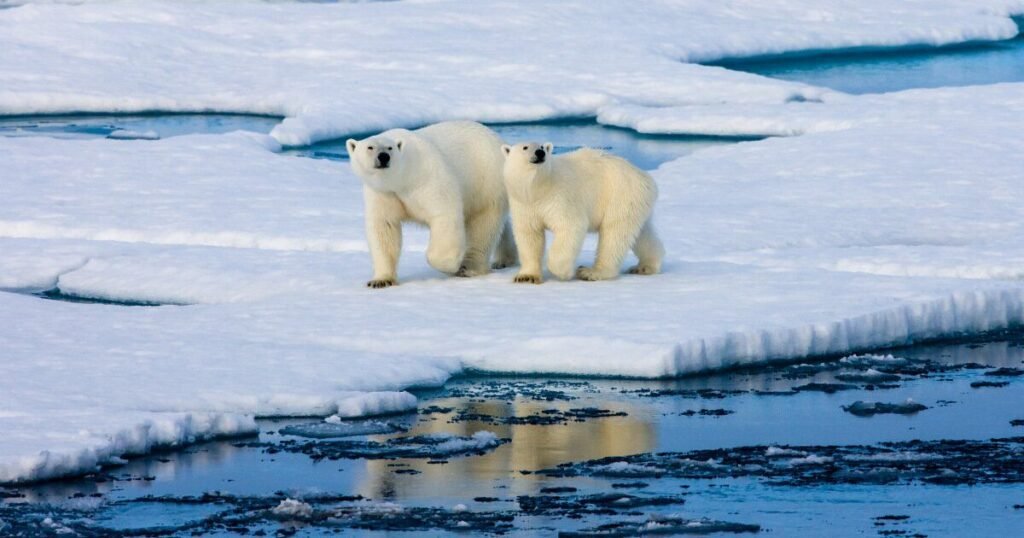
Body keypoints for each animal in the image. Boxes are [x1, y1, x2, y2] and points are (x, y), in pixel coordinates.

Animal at [347, 121, 517, 288]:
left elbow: (444, 214)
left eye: (390, 148)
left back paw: (468, 268)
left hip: (486, 181)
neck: (402, 178)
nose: (383, 157)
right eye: (370, 147)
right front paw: (380, 280)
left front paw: (451, 265)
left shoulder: (426, 177)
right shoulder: (383, 193)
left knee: (482, 225)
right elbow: (384, 227)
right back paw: (504, 259)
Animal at [501, 142, 664, 283]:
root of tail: (646, 178)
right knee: (641, 233)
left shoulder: (559, 197)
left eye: (542, 146)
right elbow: (529, 235)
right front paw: (526, 276)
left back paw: (591, 272)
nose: (540, 153)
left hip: (620, 195)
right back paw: (645, 266)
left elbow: (571, 226)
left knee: (614, 234)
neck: (538, 189)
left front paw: (563, 272)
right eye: (525, 147)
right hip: (636, 202)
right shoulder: (524, 204)